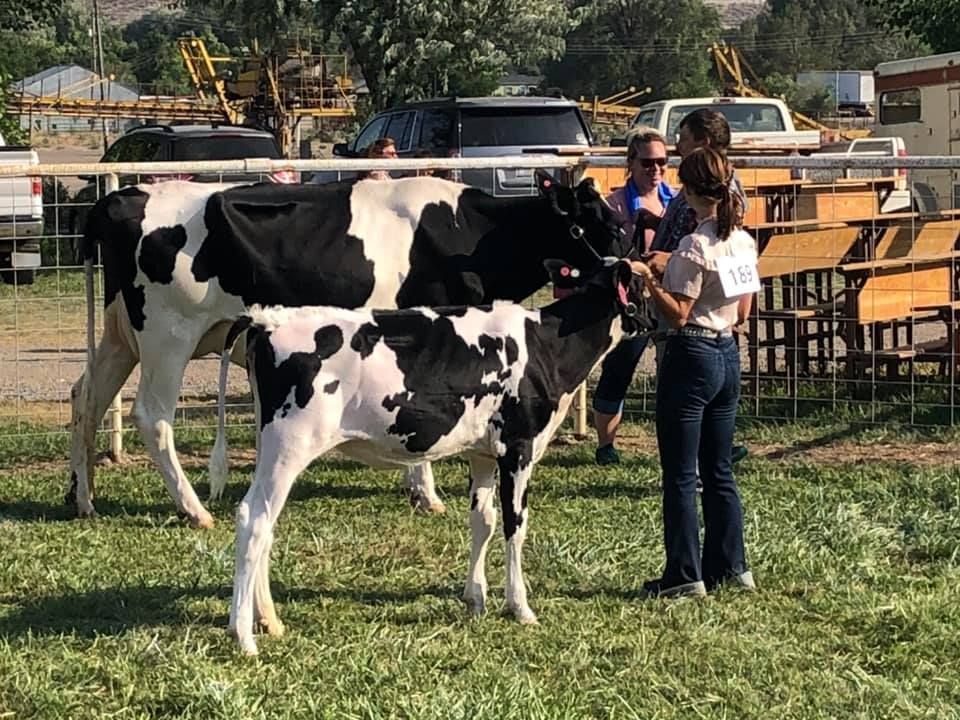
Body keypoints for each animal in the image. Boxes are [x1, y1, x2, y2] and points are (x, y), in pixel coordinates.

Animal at [70, 173, 629, 528]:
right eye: (601, 222)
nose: (634, 260)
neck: (466, 233)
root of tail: (124, 197)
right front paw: (426, 492)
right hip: (168, 336)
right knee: (152, 416)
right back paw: (194, 510)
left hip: (122, 336)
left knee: (86, 397)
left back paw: (82, 496)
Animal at [218, 257, 653, 655]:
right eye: (646, 287)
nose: (662, 320)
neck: (548, 346)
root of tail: (268, 320)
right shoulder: (518, 448)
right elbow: (515, 525)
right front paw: (520, 607)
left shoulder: (483, 453)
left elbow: (483, 522)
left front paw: (475, 598)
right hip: (289, 445)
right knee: (253, 519)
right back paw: (243, 636)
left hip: (271, 445)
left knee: (266, 525)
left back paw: (269, 621)